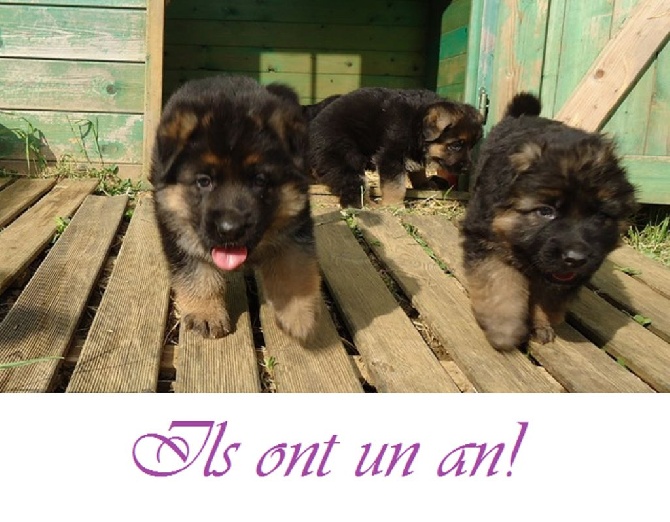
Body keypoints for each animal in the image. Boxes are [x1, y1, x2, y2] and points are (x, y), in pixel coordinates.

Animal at [150, 73, 322, 342]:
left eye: (260, 180)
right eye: (204, 181)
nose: (230, 230)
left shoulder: (295, 222)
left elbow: (293, 265)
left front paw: (299, 313)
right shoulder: (176, 225)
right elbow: (197, 270)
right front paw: (206, 312)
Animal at [308, 86, 486, 206]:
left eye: (471, 146)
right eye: (456, 145)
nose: (467, 169)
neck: (416, 121)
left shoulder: (413, 153)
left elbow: (418, 170)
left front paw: (425, 184)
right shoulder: (390, 155)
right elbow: (396, 186)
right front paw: (394, 205)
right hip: (346, 155)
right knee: (352, 183)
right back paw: (367, 205)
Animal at [462, 93, 640, 350]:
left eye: (600, 216)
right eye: (545, 211)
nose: (575, 258)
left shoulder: (568, 274)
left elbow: (550, 296)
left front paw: (541, 324)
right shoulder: (486, 241)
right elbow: (499, 285)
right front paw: (503, 329)